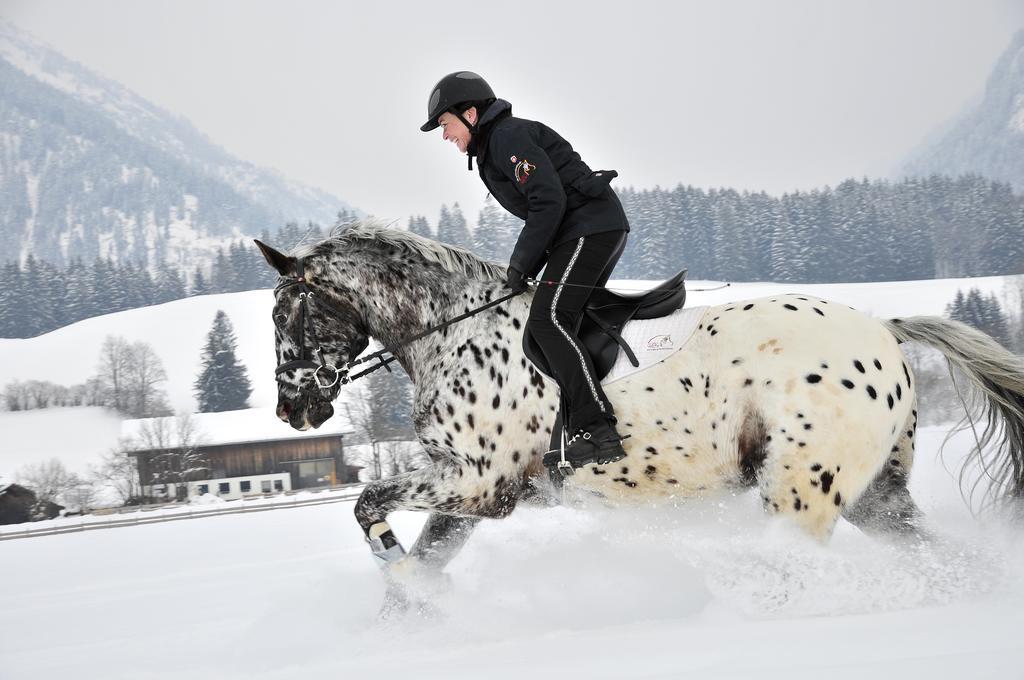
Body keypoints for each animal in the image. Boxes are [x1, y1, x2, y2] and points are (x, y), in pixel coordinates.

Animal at [253, 222, 1024, 614]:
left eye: (287, 313)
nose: (293, 408)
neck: (453, 329)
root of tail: (885, 333)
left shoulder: (481, 483)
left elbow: (368, 505)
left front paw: (404, 582)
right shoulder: (466, 488)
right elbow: (424, 554)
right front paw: (410, 612)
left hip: (800, 488)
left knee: (793, 565)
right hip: (877, 496)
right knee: (933, 556)